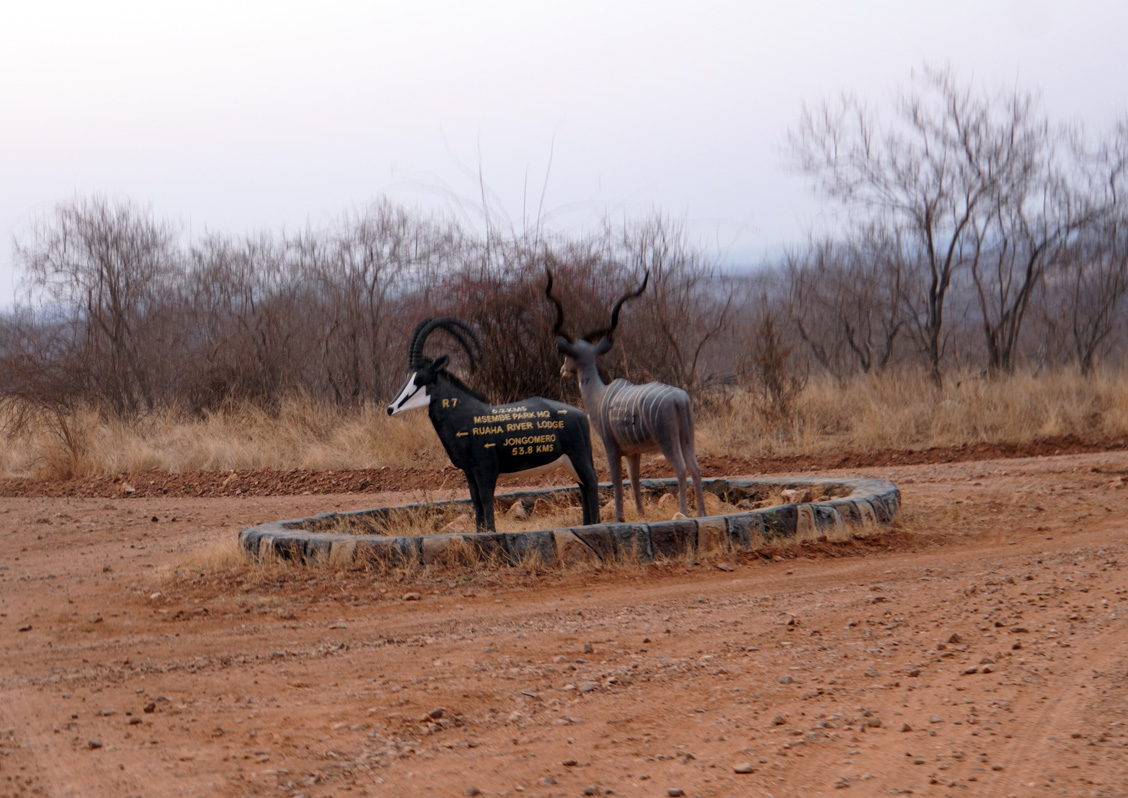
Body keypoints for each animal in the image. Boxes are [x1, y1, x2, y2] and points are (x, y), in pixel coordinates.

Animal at [387, 317, 601, 533]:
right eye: (409, 375)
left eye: (421, 377)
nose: (391, 408)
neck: (466, 414)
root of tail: (581, 415)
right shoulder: (469, 472)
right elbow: (475, 501)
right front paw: (480, 532)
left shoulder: (485, 468)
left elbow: (485, 498)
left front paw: (491, 532)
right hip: (569, 462)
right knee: (582, 485)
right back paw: (587, 524)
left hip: (578, 456)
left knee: (591, 482)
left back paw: (596, 524)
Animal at [546, 271, 705, 521]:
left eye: (568, 357)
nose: (563, 369)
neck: (600, 395)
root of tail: (679, 399)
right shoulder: (633, 452)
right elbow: (634, 478)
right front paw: (640, 513)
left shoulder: (611, 446)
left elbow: (616, 478)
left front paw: (619, 517)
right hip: (687, 437)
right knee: (696, 468)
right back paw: (701, 512)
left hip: (667, 440)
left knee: (681, 467)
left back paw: (683, 512)